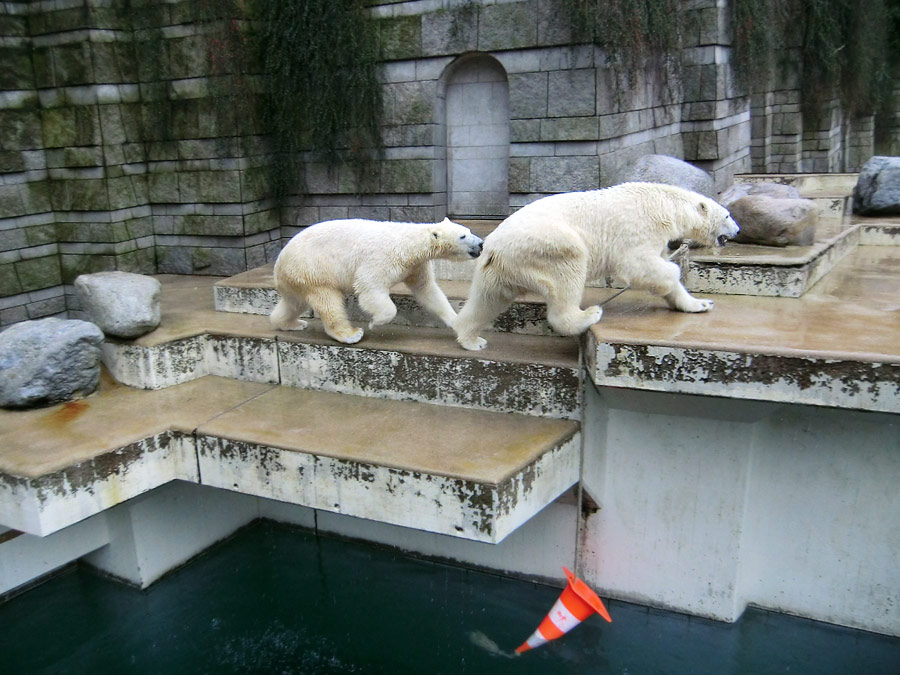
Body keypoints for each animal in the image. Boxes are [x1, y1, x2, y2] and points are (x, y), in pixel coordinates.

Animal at [270, 218, 486, 344]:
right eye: (463, 236)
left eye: (468, 230)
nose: (481, 243)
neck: (409, 244)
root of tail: (279, 263)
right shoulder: (383, 258)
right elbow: (370, 286)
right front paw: (375, 322)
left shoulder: (415, 267)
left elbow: (428, 291)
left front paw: (456, 320)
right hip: (313, 270)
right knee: (328, 302)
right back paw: (350, 334)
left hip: (296, 279)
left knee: (294, 303)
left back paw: (292, 323)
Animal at [454, 182, 740, 352]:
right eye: (727, 215)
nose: (738, 230)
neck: (666, 205)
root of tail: (493, 246)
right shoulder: (641, 228)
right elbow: (637, 264)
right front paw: (673, 275)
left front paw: (700, 304)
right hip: (547, 247)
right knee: (568, 272)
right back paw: (587, 315)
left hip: (499, 269)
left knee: (487, 300)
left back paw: (472, 339)